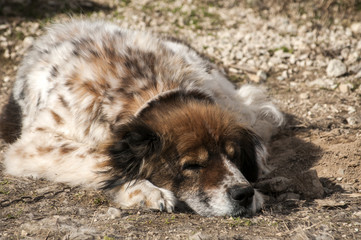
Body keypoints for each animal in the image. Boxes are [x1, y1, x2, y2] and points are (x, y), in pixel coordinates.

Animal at [0, 19, 282, 217]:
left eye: (234, 156)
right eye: (192, 165)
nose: (244, 194)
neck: (140, 88)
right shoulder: (35, 144)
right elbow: (98, 157)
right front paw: (145, 190)